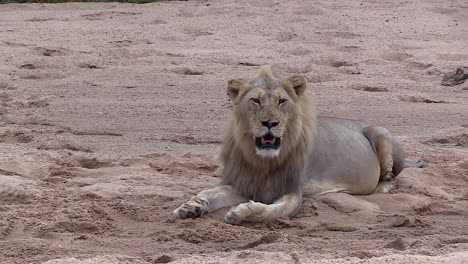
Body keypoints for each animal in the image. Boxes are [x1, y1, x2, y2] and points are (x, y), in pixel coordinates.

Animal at [173, 65, 428, 224]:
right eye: (255, 100)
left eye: (281, 101)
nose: (269, 123)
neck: (262, 161)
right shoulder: (243, 182)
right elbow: (210, 192)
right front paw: (191, 206)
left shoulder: (292, 190)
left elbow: (274, 211)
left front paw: (242, 213)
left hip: (381, 133)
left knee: (391, 179)